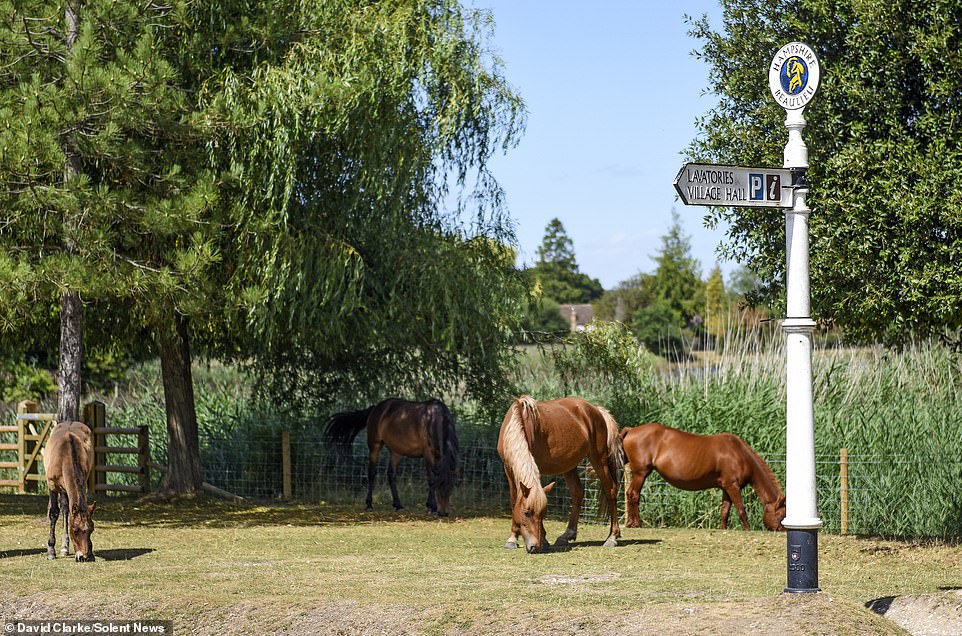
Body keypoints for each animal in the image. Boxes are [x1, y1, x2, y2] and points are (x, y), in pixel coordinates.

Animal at [43, 422, 96, 560]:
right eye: (75, 531)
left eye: (91, 530)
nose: (83, 556)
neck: (65, 454)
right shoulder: (52, 486)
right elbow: (54, 513)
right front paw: (51, 550)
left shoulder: (83, 483)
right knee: (64, 509)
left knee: (66, 509)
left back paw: (65, 547)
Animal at [322, 398, 458, 516]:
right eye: (440, 488)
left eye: (451, 488)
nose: (443, 513)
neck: (434, 419)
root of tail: (375, 408)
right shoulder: (428, 454)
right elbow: (431, 479)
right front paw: (432, 507)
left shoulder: (438, 455)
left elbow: (433, 478)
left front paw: (430, 506)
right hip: (375, 446)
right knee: (372, 473)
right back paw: (369, 505)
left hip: (395, 452)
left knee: (391, 474)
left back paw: (398, 505)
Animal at [496, 396, 624, 556]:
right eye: (526, 513)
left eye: (543, 514)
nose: (534, 546)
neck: (519, 421)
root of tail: (597, 410)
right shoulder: (508, 467)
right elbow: (514, 500)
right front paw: (513, 538)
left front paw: (542, 540)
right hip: (569, 466)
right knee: (577, 493)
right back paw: (566, 535)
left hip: (599, 459)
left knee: (610, 490)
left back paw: (612, 537)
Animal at [620, 422, 784, 532]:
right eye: (781, 513)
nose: (783, 530)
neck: (740, 454)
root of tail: (631, 430)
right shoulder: (733, 486)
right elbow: (741, 509)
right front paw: (748, 529)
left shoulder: (726, 487)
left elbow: (725, 511)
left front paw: (722, 528)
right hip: (641, 473)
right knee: (633, 494)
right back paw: (636, 523)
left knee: (630, 494)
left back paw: (630, 523)